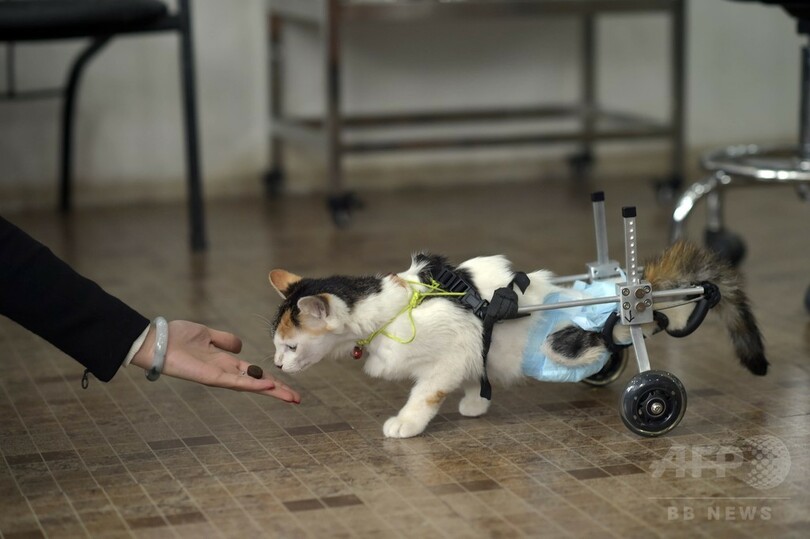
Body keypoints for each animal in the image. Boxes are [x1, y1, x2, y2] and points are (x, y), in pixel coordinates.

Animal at [268, 241, 768, 438]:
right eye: (277, 346)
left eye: (289, 346)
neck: (394, 308)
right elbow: (478, 367)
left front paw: (406, 424)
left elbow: (426, 393)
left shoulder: (448, 355)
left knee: (635, 330)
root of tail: (632, 285)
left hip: (576, 337)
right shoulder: (474, 344)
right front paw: (476, 401)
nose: (275, 365)